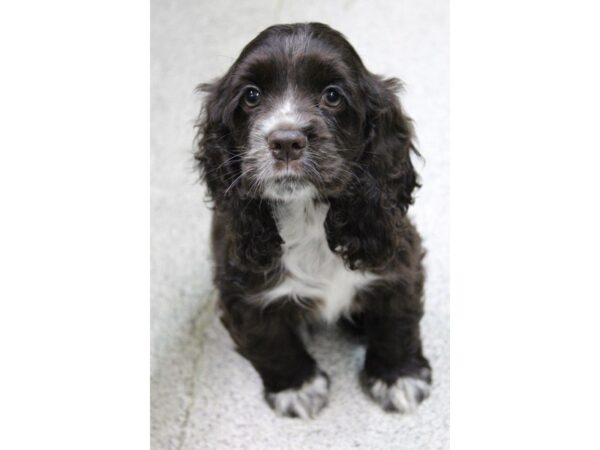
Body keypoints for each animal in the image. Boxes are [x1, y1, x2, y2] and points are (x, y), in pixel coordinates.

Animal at [196, 23, 432, 418]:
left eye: (333, 96)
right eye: (251, 96)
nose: (286, 141)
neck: (307, 214)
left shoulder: (398, 254)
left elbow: (398, 319)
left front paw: (399, 377)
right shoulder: (240, 289)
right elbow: (270, 341)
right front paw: (297, 388)